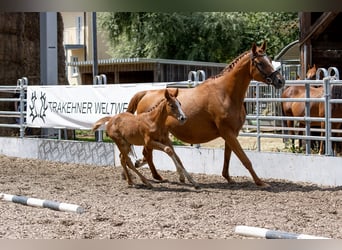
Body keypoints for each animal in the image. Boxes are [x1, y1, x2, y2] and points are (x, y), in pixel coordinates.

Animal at [127, 41, 284, 188]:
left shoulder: (231, 133)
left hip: (162, 134)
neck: (225, 94)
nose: (280, 81)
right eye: (260, 63)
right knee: (148, 153)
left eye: (270, 60)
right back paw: (156, 174)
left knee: (149, 153)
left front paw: (228, 178)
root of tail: (145, 93)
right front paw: (260, 182)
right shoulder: (228, 132)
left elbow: (228, 156)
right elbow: (245, 159)